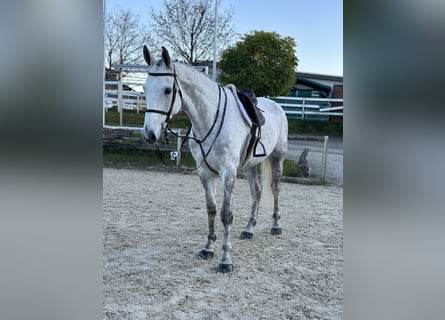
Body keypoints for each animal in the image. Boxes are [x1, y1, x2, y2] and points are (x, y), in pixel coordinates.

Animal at [142, 47, 288, 272]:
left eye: (167, 90)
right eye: (144, 88)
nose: (149, 134)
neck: (210, 117)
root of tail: (277, 106)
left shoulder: (228, 172)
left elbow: (226, 214)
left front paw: (225, 259)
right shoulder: (205, 173)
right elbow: (211, 210)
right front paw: (208, 248)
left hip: (277, 158)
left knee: (275, 189)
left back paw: (276, 225)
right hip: (250, 166)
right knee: (257, 191)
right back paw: (249, 229)